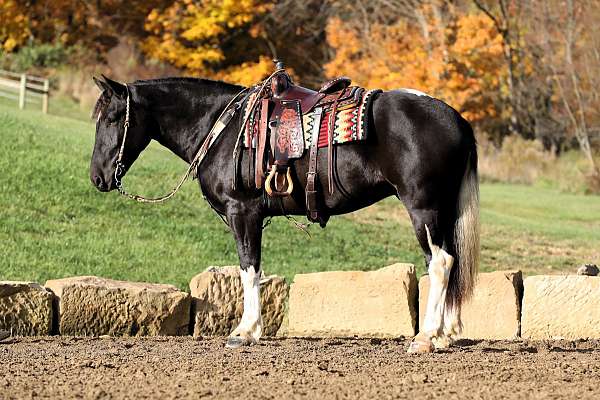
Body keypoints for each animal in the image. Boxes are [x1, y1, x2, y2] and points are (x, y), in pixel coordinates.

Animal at [90, 76, 478, 354]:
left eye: (113, 118)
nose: (97, 178)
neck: (222, 127)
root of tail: (455, 118)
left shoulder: (242, 212)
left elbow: (249, 269)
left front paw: (245, 331)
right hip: (441, 211)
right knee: (451, 261)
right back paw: (443, 335)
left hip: (422, 208)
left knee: (440, 263)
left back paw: (425, 338)